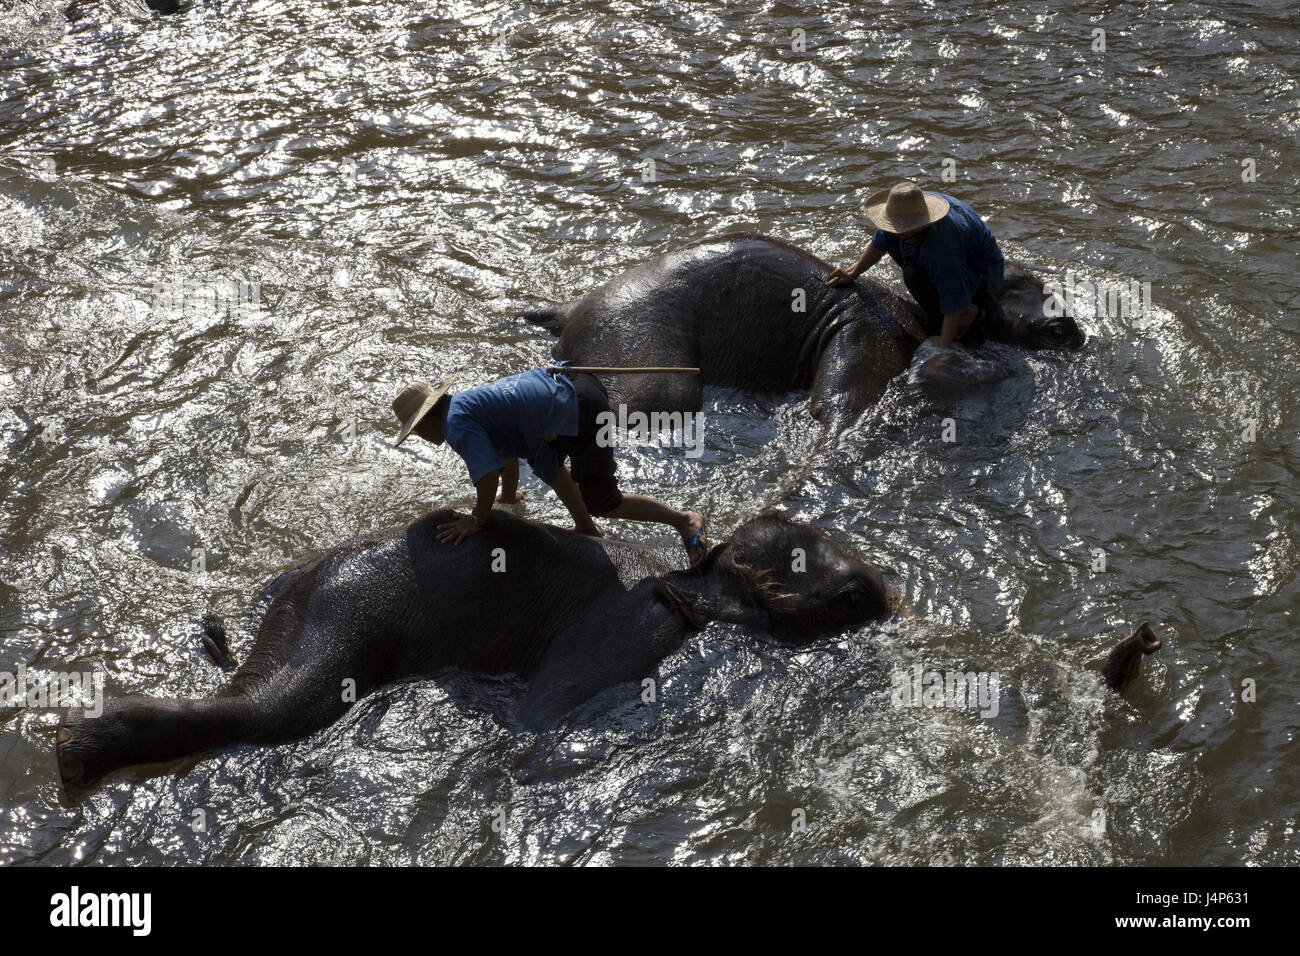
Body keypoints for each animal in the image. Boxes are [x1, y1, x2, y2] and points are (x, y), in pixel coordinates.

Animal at [58, 504, 894, 790]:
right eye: (851, 597)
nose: (887, 597)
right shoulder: (630, 635)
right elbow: (543, 718)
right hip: (349, 624)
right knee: (280, 706)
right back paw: (77, 748)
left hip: (300, 603)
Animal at [522, 234, 1081, 434]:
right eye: (1050, 330)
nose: (1073, 332)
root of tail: (566, 311)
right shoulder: (870, 335)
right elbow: (837, 406)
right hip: (634, 342)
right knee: (663, 398)